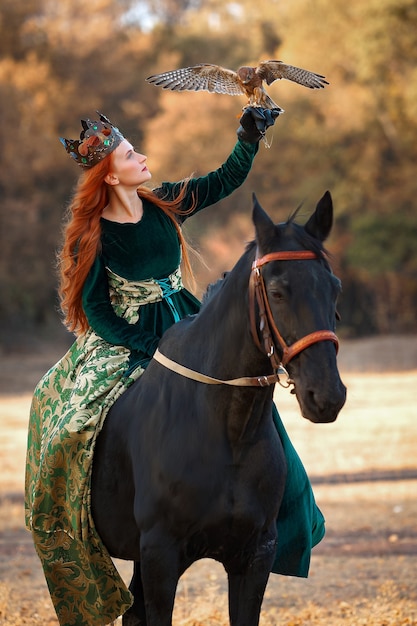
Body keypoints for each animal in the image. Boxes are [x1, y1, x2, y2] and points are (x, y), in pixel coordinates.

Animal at [91, 190, 344, 624]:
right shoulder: (160, 557)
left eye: (335, 288)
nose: (327, 395)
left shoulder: (254, 558)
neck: (227, 433)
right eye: (278, 291)